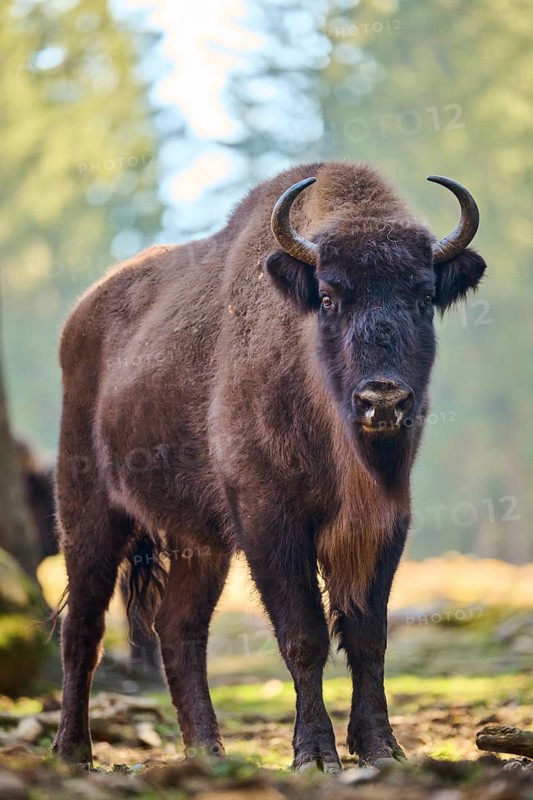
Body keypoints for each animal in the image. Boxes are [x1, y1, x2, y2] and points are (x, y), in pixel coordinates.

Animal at [53, 161, 486, 771]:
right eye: (327, 297)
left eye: (425, 296)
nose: (381, 399)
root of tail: (79, 320)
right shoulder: (269, 521)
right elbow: (303, 635)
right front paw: (316, 755)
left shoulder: (384, 522)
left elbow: (368, 634)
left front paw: (381, 748)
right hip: (88, 511)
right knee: (83, 627)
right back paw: (73, 752)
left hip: (200, 542)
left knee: (179, 629)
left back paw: (208, 750)